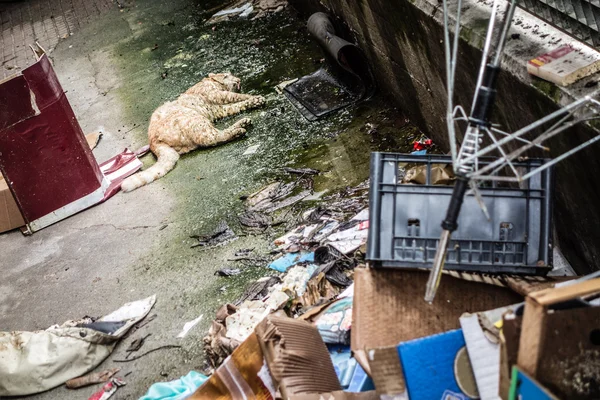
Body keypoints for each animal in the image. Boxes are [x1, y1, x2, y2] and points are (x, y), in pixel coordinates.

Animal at [120, 73, 264, 192]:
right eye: (227, 75)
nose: (238, 79)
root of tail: (152, 142)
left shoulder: (221, 109)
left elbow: (238, 105)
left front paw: (253, 101)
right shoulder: (218, 95)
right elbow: (239, 97)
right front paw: (256, 98)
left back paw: (243, 123)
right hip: (197, 121)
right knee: (215, 138)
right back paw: (240, 129)